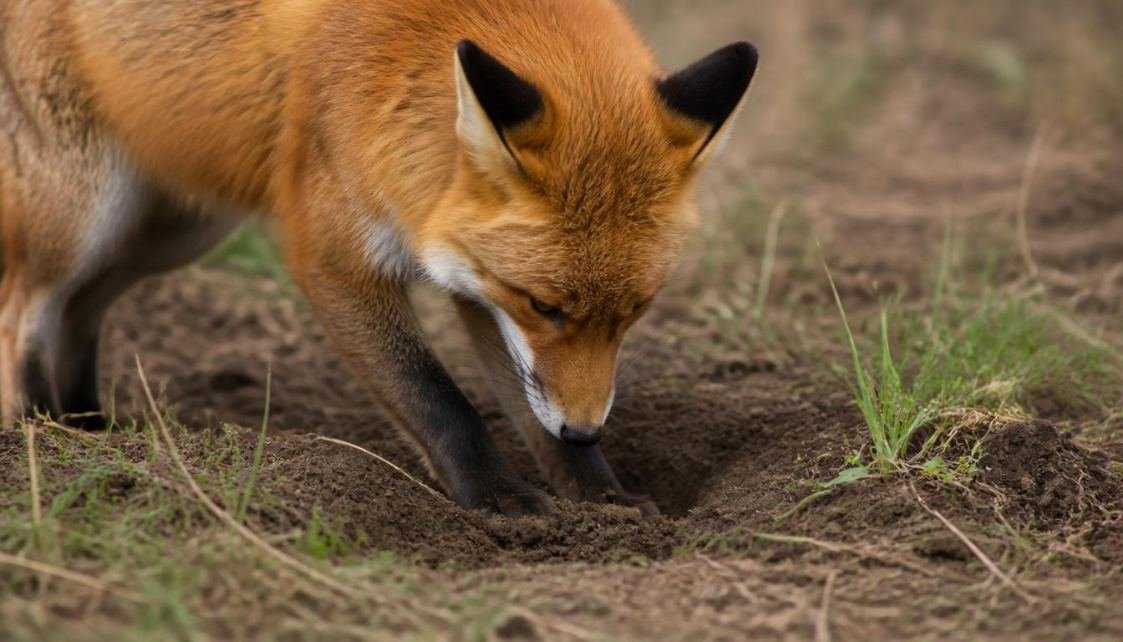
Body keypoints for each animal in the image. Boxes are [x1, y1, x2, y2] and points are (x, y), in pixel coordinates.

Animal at [0, 0, 757, 516]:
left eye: (636, 311)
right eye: (545, 305)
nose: (583, 430)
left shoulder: (479, 284)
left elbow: (523, 398)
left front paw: (600, 498)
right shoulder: (334, 254)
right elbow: (437, 398)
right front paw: (499, 500)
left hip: (170, 232)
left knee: (80, 309)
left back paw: (92, 431)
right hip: (87, 215)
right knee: (24, 309)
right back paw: (43, 436)